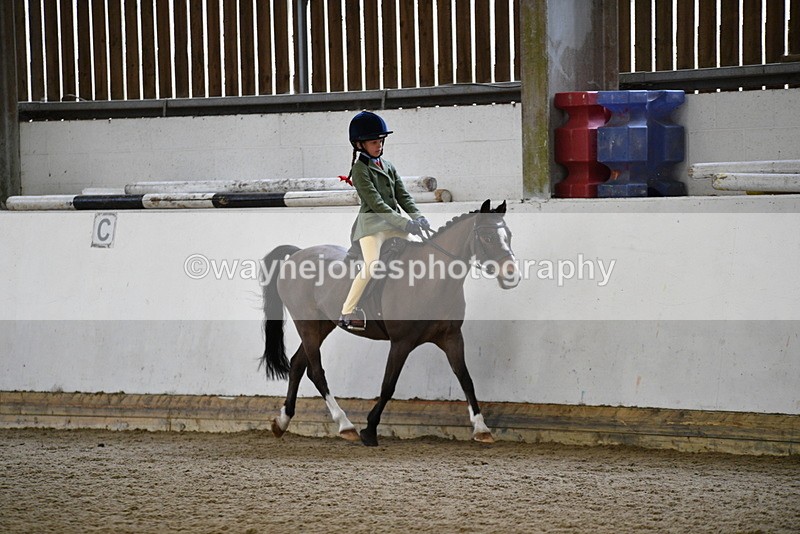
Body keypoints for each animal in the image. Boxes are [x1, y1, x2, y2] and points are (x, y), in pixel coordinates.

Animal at [259, 199, 519, 446]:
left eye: (509, 235)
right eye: (487, 237)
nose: (512, 275)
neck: (429, 279)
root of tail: (297, 254)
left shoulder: (452, 337)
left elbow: (465, 378)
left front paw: (482, 428)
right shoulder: (401, 342)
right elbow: (388, 384)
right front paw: (370, 430)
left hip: (323, 325)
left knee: (297, 364)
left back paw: (282, 422)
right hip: (307, 325)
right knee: (315, 371)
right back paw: (345, 425)